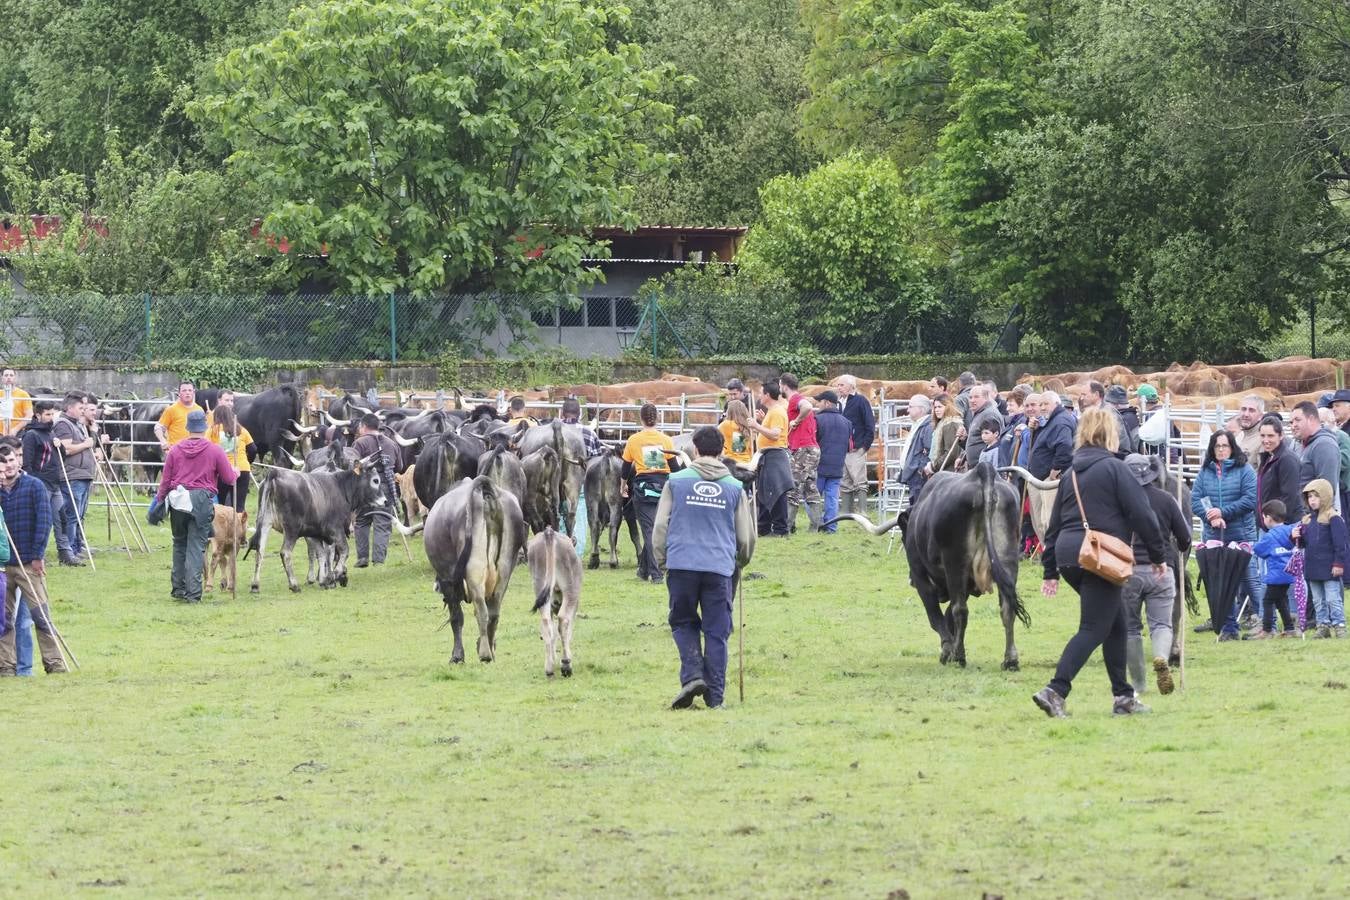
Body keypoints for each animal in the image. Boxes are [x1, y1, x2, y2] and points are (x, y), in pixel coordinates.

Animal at [245, 458, 391, 599]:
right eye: (375, 480)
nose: (385, 501)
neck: (341, 488)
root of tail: (275, 473)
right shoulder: (336, 529)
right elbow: (343, 551)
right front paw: (334, 575)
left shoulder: (314, 534)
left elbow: (322, 554)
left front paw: (324, 580)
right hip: (292, 529)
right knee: (285, 552)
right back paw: (294, 585)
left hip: (264, 523)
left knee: (260, 551)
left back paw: (255, 586)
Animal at [421, 477, 526, 661]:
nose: (436, 586)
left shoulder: (448, 580)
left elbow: (456, 618)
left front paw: (457, 656)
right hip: (504, 572)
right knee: (493, 614)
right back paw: (490, 649)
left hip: (474, 572)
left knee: (481, 611)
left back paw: (484, 653)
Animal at [523, 528, 583, 674]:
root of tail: (549, 532)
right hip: (571, 589)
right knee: (563, 619)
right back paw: (566, 664)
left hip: (540, 584)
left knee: (546, 621)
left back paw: (549, 668)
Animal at [826, 464, 1026, 669]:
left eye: (903, 537)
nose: (910, 581)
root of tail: (984, 470)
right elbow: (946, 616)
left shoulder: (920, 575)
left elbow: (935, 615)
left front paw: (947, 651)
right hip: (1007, 562)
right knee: (1007, 608)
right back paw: (1010, 660)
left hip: (955, 564)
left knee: (960, 610)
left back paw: (959, 656)